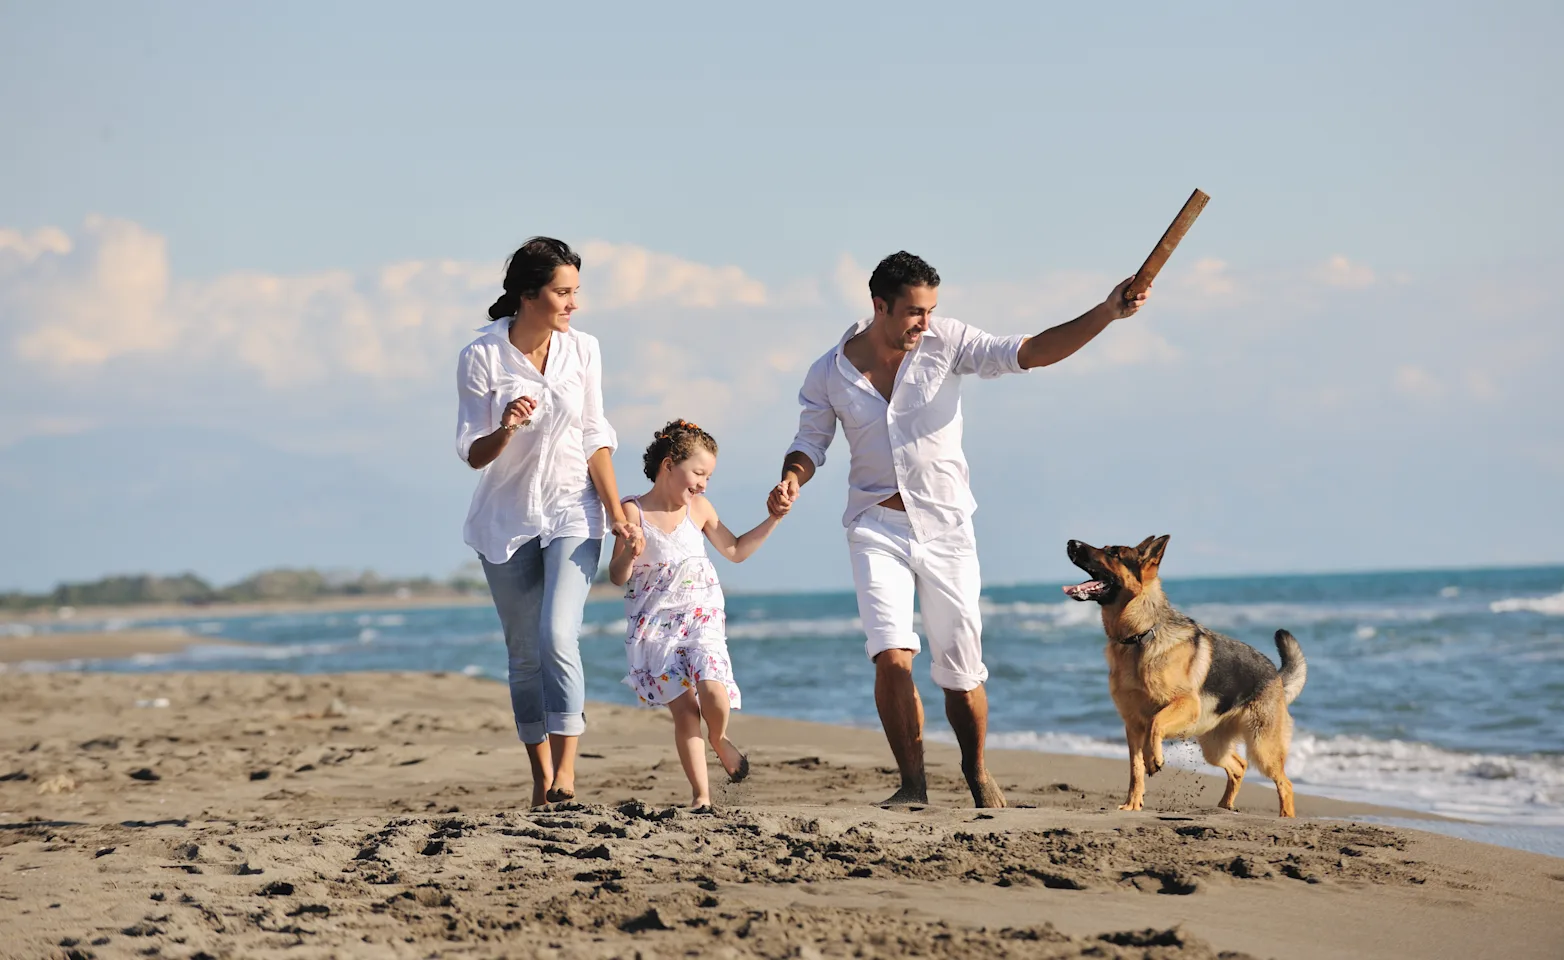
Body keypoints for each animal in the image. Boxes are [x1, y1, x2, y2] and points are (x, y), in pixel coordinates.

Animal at [1063, 537, 1307, 819]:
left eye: (1113, 553)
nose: (1071, 542)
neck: (1140, 636)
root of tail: (1275, 675)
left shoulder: (1184, 705)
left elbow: (1155, 723)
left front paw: (1154, 759)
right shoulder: (1132, 725)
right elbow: (1135, 768)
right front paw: (1133, 803)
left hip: (1262, 747)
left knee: (1285, 783)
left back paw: (1285, 817)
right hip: (1214, 747)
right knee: (1239, 766)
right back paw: (1224, 807)